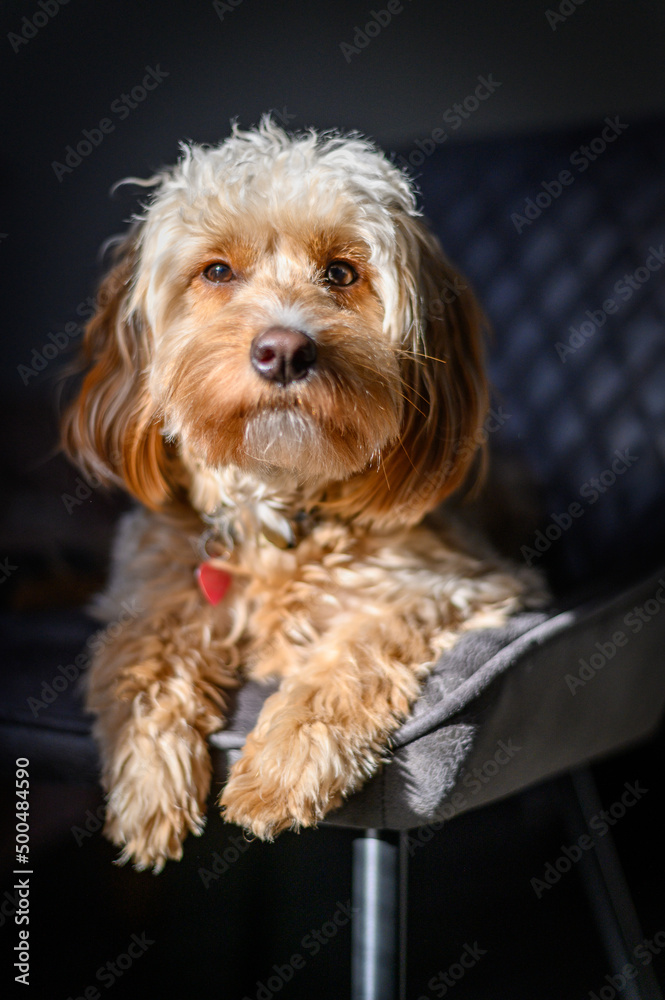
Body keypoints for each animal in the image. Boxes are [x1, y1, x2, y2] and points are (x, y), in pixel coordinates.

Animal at [63, 115, 536, 868]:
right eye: (216, 271)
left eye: (341, 272)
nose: (283, 350)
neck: (276, 510)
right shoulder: (146, 591)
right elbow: (140, 658)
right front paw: (147, 782)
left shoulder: (456, 583)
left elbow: (352, 655)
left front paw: (282, 766)